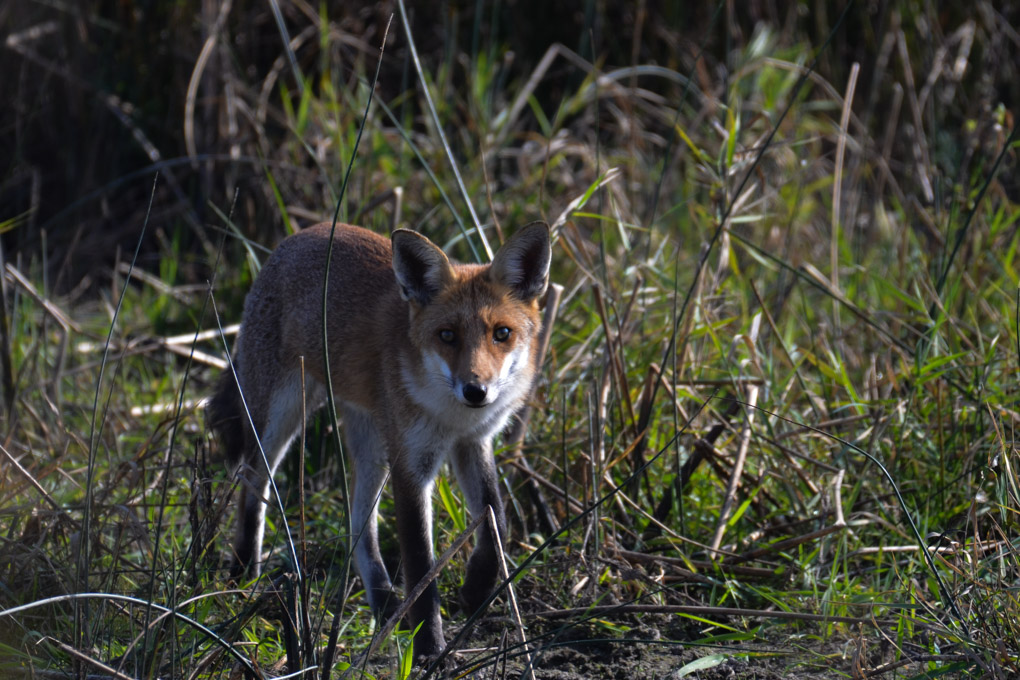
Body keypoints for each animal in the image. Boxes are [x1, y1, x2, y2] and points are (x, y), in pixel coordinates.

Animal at [208, 222, 554, 660]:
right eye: (447, 335)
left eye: (502, 333)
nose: (476, 391)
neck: (451, 416)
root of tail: (306, 232)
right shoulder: (411, 465)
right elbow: (421, 566)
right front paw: (429, 648)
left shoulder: (473, 443)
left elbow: (497, 523)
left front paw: (476, 590)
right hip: (281, 415)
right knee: (251, 486)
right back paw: (241, 578)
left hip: (371, 443)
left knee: (359, 522)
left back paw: (386, 605)